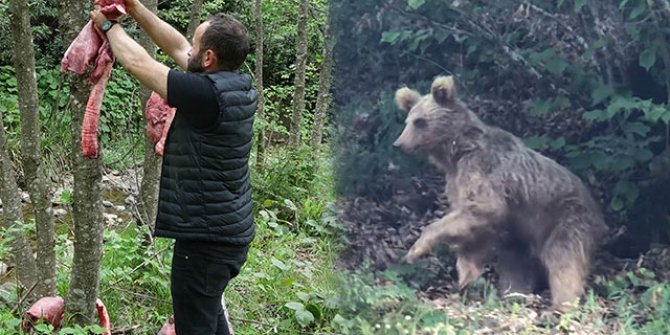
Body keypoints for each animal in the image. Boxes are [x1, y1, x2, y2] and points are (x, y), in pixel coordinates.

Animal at [394, 76, 608, 312]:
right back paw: (514, 295)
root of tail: (599, 214)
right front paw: (466, 275)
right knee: (516, 263)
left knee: (563, 259)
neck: (457, 152)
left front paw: (415, 250)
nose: (398, 144)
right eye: (407, 121)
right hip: (522, 233)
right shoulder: (457, 182)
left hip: (567, 219)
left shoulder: (483, 170)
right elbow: (472, 223)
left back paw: (561, 305)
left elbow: (484, 208)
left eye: (419, 121)